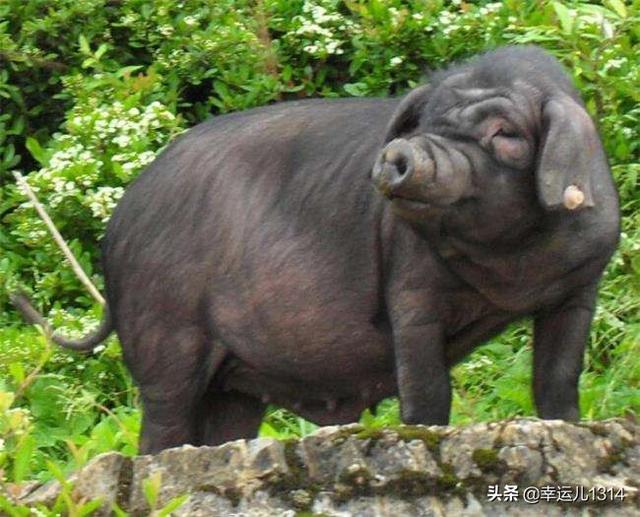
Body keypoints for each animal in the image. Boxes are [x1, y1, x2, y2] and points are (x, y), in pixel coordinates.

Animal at [11, 47, 620, 452]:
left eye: (505, 134)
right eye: (424, 124)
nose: (400, 153)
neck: (511, 267)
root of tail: (116, 227)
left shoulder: (580, 288)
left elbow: (558, 374)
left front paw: (571, 427)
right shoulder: (411, 289)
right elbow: (425, 383)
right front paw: (425, 436)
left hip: (234, 379)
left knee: (223, 425)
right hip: (162, 329)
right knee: (163, 421)